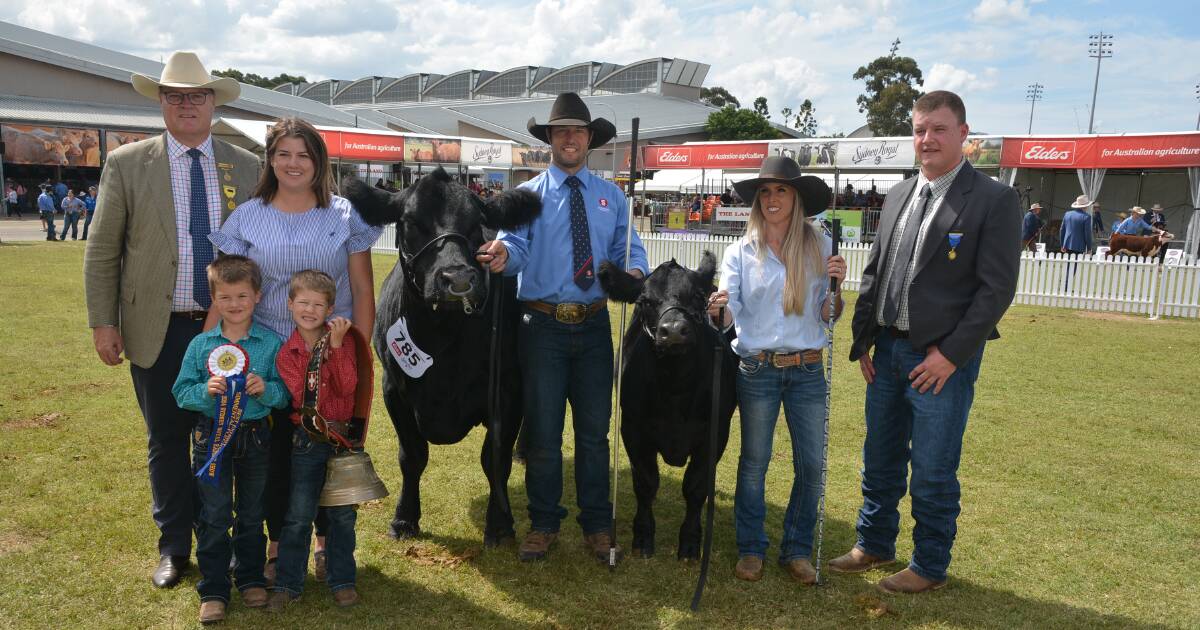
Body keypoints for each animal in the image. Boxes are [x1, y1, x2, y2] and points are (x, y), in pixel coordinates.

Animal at [343, 169, 540, 542]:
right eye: (409, 222)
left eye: (478, 222)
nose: (458, 279)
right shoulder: (394, 389)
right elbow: (412, 456)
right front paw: (404, 519)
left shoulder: (507, 388)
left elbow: (495, 459)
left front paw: (500, 523)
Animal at [604, 253, 734, 556]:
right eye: (644, 301)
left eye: (697, 296)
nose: (674, 331)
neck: (676, 388)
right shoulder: (633, 428)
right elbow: (646, 482)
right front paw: (642, 536)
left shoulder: (715, 432)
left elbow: (696, 486)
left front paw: (690, 541)